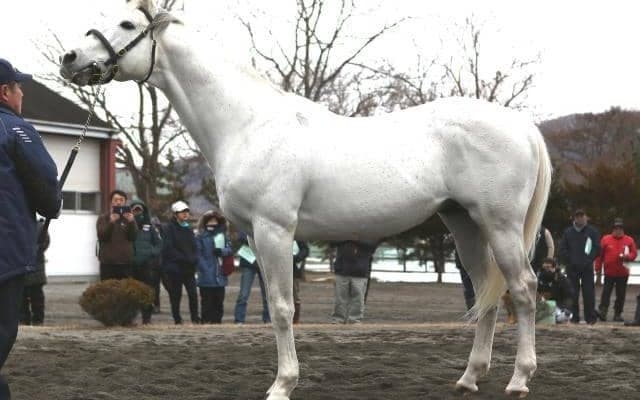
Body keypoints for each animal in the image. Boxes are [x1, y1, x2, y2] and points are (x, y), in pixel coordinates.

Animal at [59, 1, 551, 398]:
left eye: (126, 23)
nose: (70, 59)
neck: (247, 123)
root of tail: (522, 126)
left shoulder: (275, 229)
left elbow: (281, 309)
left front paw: (282, 385)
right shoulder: (255, 236)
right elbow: (277, 305)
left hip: (500, 224)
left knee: (524, 290)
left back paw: (519, 380)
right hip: (463, 223)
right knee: (486, 292)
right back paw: (469, 378)